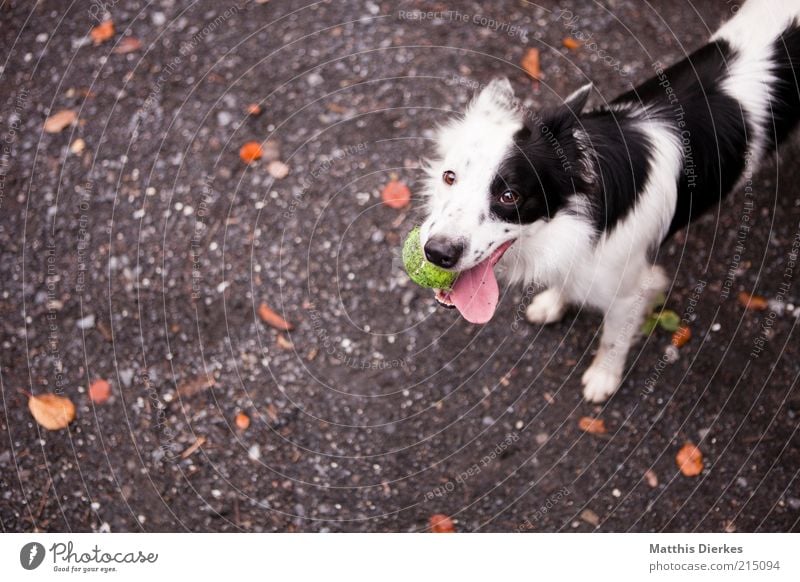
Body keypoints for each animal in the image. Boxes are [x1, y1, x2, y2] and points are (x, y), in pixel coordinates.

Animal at [418, 0, 800, 402]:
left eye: (510, 196)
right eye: (449, 177)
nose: (437, 253)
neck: (570, 222)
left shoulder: (632, 287)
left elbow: (614, 339)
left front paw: (603, 377)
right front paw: (555, 301)